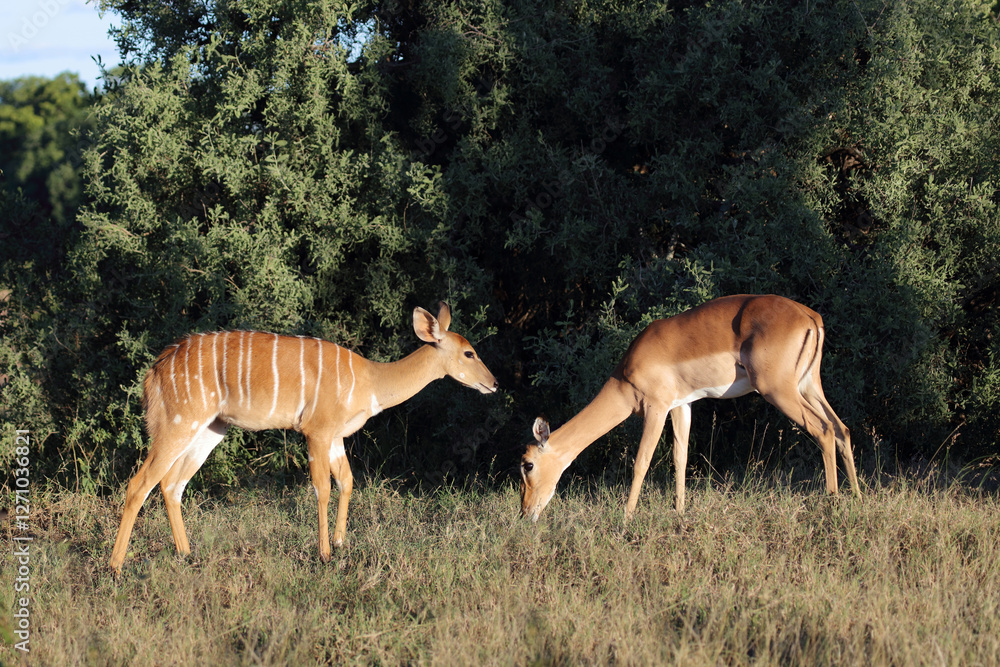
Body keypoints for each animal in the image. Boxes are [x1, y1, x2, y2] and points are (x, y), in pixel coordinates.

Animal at [110, 302, 498, 572]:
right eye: (468, 352)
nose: (494, 383)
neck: (370, 380)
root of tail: (155, 372)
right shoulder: (317, 430)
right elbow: (321, 487)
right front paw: (324, 553)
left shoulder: (336, 436)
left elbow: (347, 481)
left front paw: (341, 544)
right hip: (178, 423)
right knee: (140, 483)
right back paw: (115, 566)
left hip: (210, 428)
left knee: (172, 484)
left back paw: (186, 554)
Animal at [519, 294, 861, 521]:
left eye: (528, 465)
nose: (525, 513)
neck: (625, 375)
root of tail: (810, 317)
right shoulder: (682, 406)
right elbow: (680, 458)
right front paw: (679, 512)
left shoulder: (656, 407)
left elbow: (642, 461)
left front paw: (626, 517)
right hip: (808, 386)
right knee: (841, 429)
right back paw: (856, 497)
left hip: (778, 390)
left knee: (823, 429)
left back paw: (832, 502)